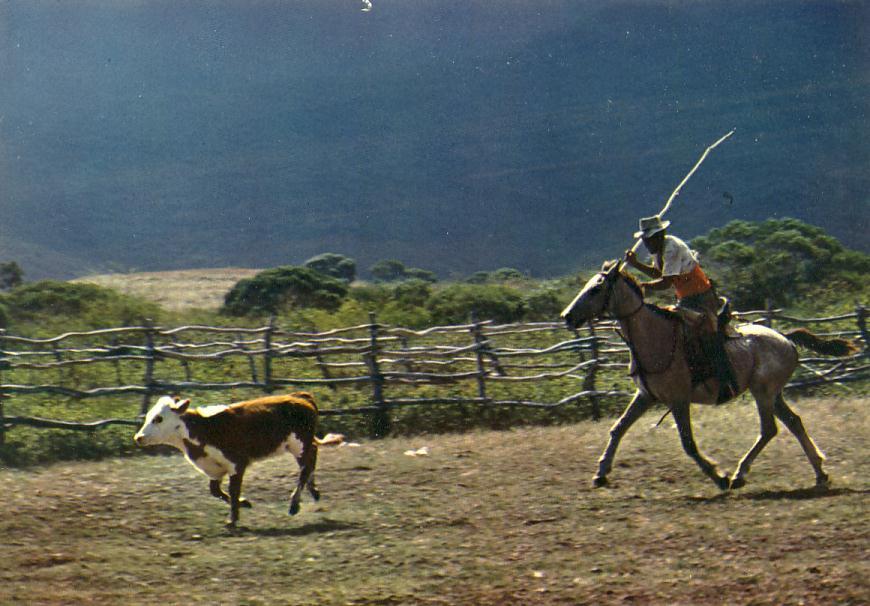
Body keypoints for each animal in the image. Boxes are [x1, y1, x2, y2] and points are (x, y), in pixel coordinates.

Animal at [135, 394, 342, 528]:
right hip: (298, 446)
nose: (138, 437)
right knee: (310, 459)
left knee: (306, 466)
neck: (205, 429)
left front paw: (232, 519)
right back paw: (314, 492)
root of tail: (302, 397)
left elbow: (233, 491)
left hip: (299, 444)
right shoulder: (214, 469)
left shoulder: (237, 464)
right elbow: (216, 491)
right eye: (148, 416)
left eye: (159, 418)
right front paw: (244, 503)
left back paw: (294, 505)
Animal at [560, 262, 860, 494]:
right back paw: (819, 474)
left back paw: (739, 475)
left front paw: (719, 477)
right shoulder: (646, 396)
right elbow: (618, 429)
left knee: (769, 429)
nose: (567, 316)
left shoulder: (679, 400)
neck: (654, 337)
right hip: (773, 394)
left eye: (596, 289)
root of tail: (786, 338)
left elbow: (689, 444)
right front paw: (601, 473)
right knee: (794, 423)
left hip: (763, 392)